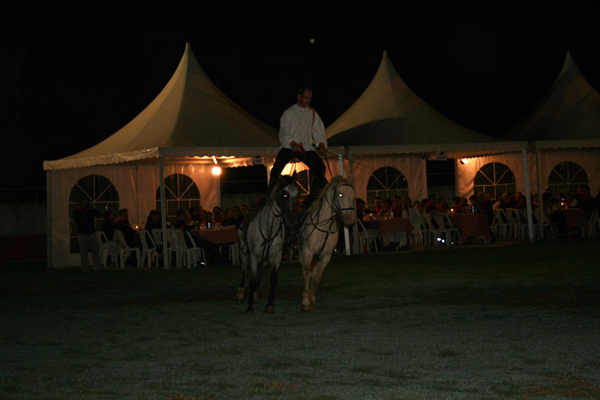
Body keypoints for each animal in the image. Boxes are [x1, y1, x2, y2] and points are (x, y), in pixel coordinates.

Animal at [236, 177, 298, 314]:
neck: (269, 227)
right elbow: (252, 279)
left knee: (261, 272)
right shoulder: (254, 256)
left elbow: (273, 279)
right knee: (244, 271)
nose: (293, 220)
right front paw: (249, 307)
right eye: (285, 194)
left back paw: (254, 294)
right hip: (243, 252)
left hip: (264, 259)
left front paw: (270, 305)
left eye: (298, 193)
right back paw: (241, 295)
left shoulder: (275, 256)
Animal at [296, 176, 356, 312]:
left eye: (353, 195)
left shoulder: (326, 255)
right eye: (340, 194)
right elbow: (307, 273)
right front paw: (305, 301)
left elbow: (317, 277)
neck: (324, 226)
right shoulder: (307, 251)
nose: (351, 219)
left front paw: (312, 299)